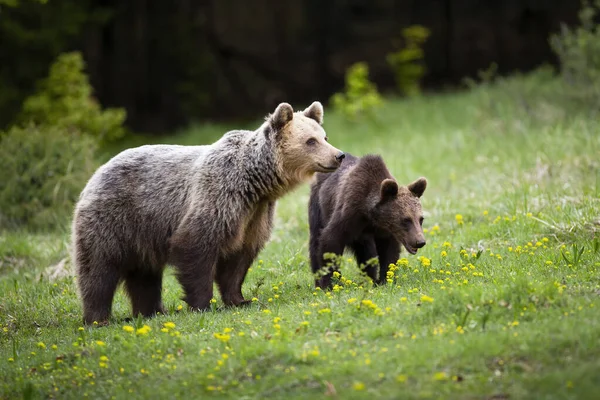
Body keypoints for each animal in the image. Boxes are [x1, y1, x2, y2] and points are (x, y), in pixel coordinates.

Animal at [72, 101, 344, 324]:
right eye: (311, 141)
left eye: (325, 136)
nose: (338, 155)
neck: (254, 183)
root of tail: (97, 171)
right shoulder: (218, 197)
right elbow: (196, 247)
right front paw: (203, 304)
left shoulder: (254, 215)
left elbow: (239, 259)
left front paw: (240, 300)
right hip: (114, 218)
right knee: (98, 268)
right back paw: (98, 318)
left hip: (143, 231)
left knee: (144, 274)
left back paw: (152, 311)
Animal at [310, 152, 426, 288]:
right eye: (406, 220)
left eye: (421, 219)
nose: (420, 241)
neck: (370, 214)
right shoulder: (348, 215)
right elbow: (330, 241)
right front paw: (330, 283)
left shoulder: (384, 231)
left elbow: (388, 252)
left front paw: (386, 280)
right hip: (318, 208)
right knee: (315, 242)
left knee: (367, 253)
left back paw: (370, 279)